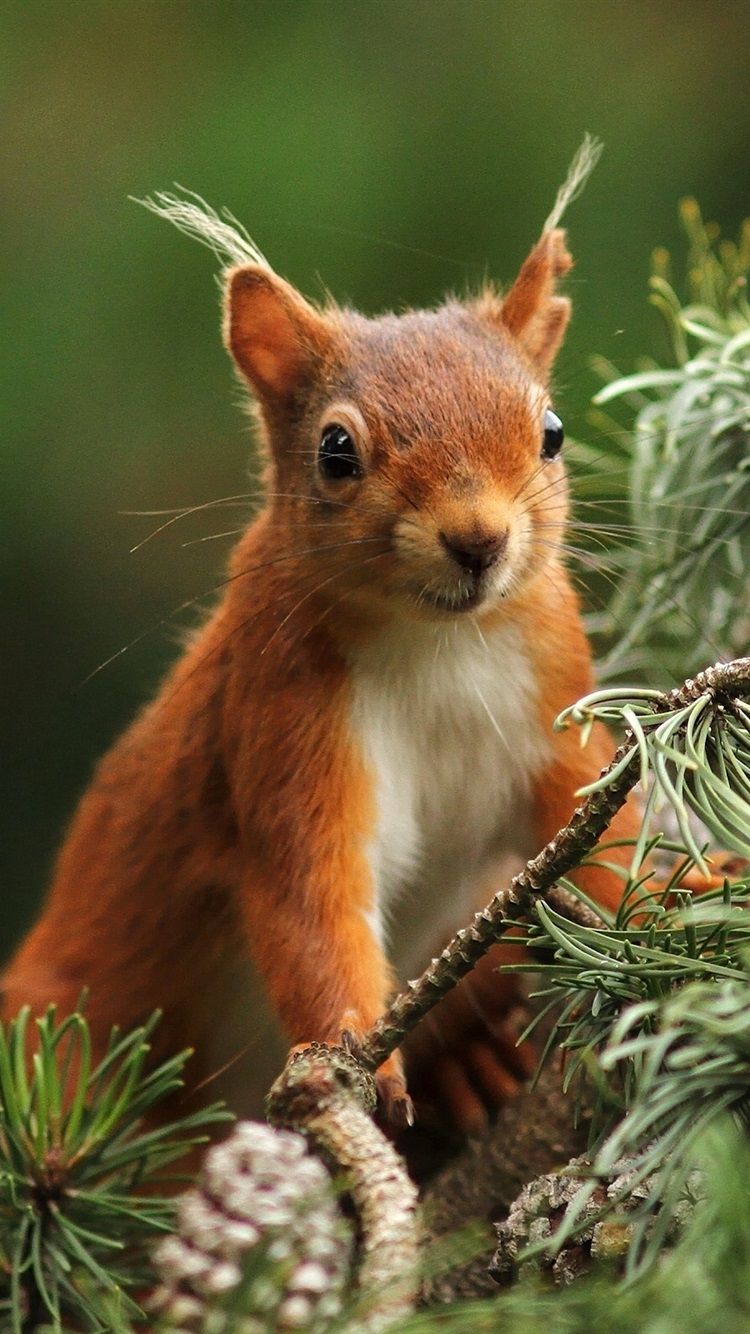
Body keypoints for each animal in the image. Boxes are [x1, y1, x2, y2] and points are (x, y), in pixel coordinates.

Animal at [2, 158, 641, 1133]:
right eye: (336, 451)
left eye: (553, 434)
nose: (479, 540)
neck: (437, 644)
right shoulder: (282, 725)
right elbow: (311, 902)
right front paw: (353, 1055)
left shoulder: (553, 701)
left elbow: (599, 829)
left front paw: (689, 895)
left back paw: (476, 1057)